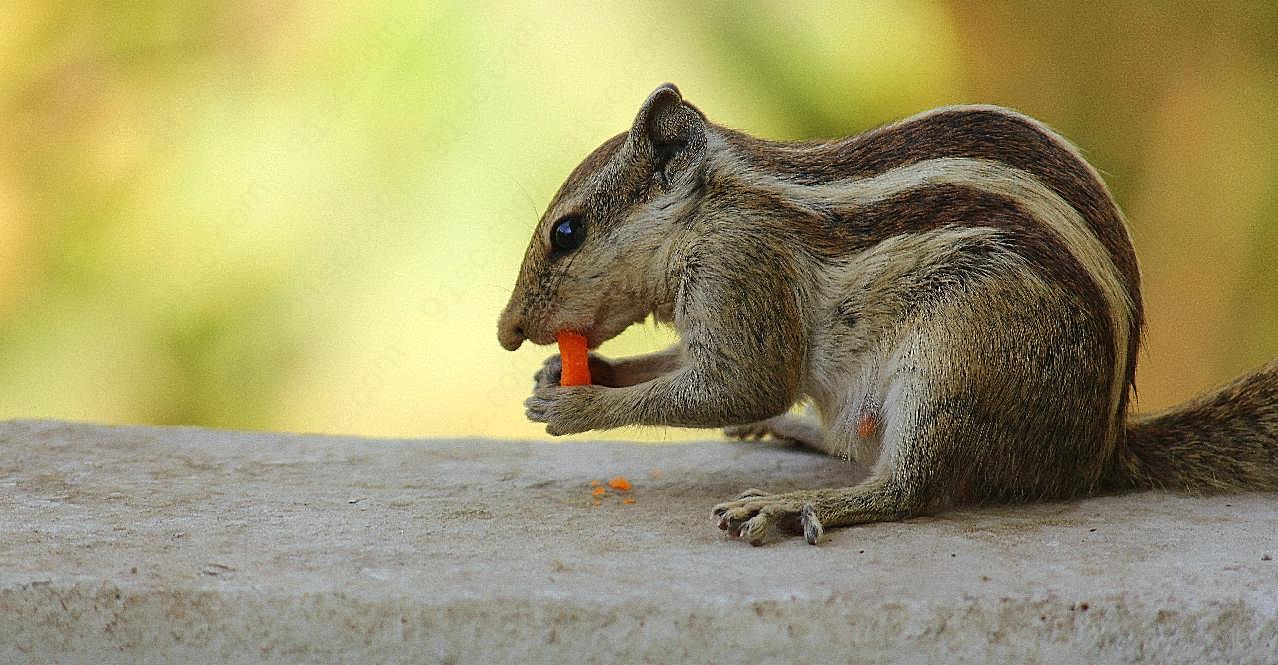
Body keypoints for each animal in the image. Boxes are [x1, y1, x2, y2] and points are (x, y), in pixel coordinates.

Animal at [493, 83, 1278, 544]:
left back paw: (796, 503)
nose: (506, 332)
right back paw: (797, 435)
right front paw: (576, 371)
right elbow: (686, 369)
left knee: (909, 487)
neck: (710, 208)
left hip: (957, 359)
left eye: (567, 232)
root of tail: (1098, 452)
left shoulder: (741, 270)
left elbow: (743, 383)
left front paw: (577, 404)